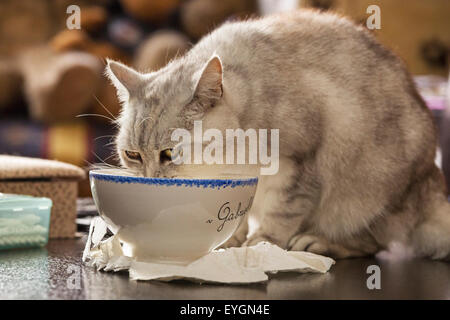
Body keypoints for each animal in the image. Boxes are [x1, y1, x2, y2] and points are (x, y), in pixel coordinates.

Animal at [106, 10, 450, 260]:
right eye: (132, 155)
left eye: (169, 154)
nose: (149, 180)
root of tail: (432, 180)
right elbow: (238, 215)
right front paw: (231, 240)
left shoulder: (299, 165)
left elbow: (281, 212)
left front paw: (263, 243)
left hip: (366, 196)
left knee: (372, 242)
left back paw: (317, 241)